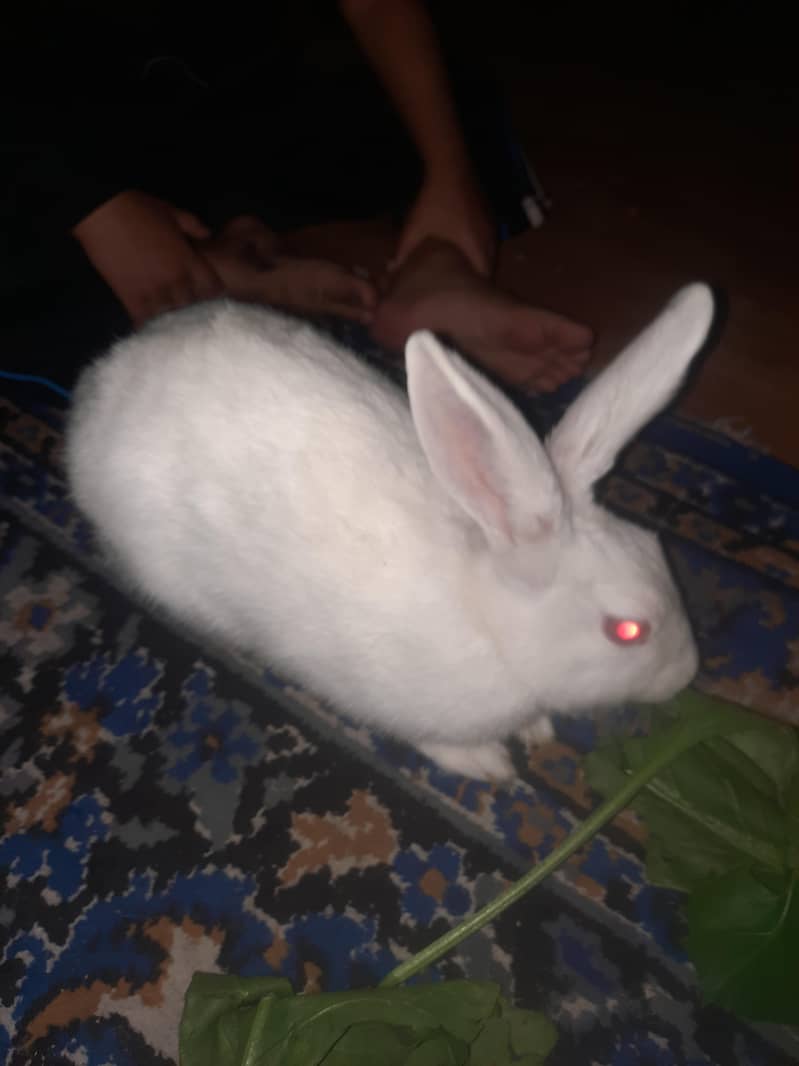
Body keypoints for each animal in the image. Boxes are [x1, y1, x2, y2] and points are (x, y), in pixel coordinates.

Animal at [66, 283, 714, 781]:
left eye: (659, 551)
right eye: (627, 630)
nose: (688, 674)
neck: (491, 623)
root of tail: (97, 386)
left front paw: (536, 731)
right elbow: (434, 739)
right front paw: (489, 765)